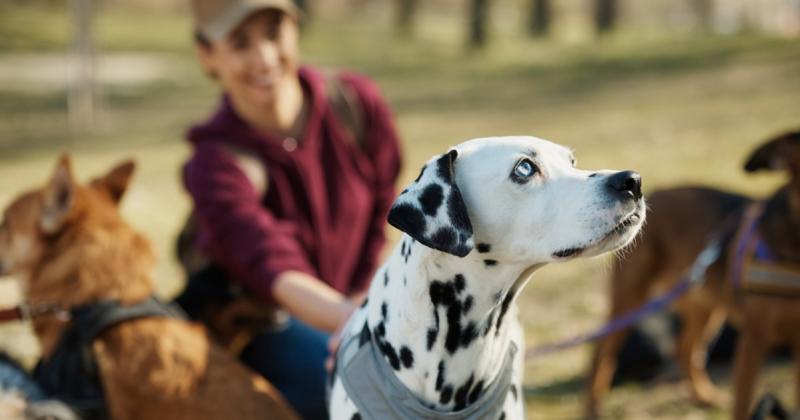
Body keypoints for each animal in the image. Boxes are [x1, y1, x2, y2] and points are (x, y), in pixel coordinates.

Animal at [584, 131, 800, 420]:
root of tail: (657, 192)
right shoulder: (753, 339)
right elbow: (743, 403)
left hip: (705, 306)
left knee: (685, 350)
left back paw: (704, 397)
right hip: (631, 301)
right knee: (602, 353)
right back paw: (593, 408)